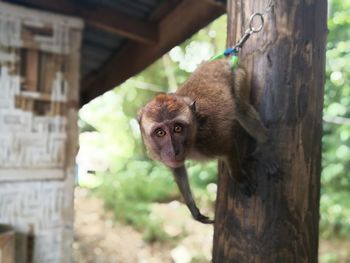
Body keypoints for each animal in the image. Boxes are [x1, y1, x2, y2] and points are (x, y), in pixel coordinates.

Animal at [138, 58, 278, 225]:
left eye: (178, 128)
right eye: (160, 133)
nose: (173, 150)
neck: (194, 136)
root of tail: (220, 61)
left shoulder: (212, 138)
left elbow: (229, 147)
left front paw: (239, 178)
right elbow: (177, 169)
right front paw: (192, 207)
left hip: (238, 75)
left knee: (241, 108)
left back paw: (266, 145)